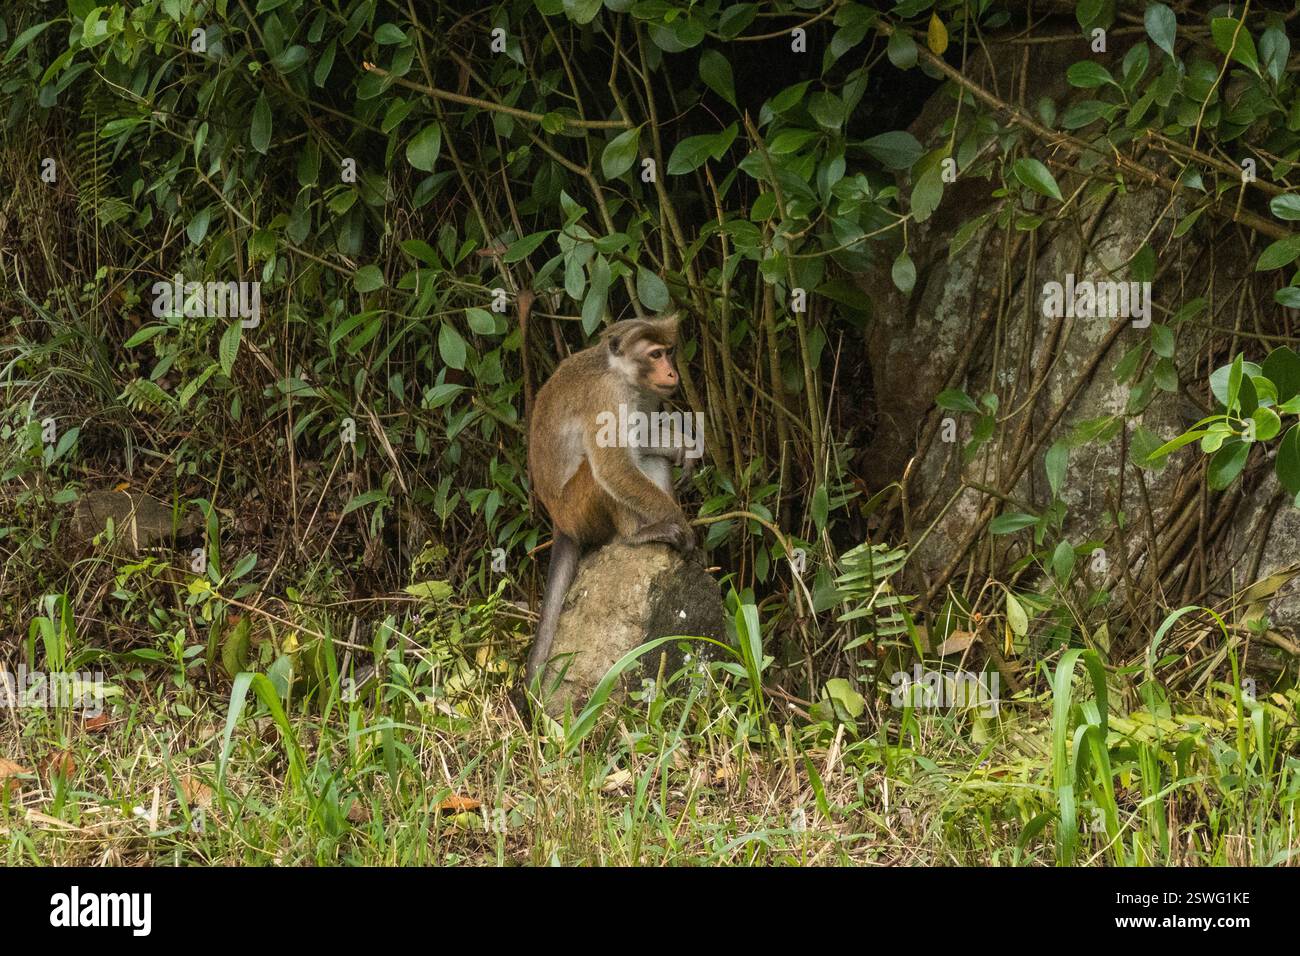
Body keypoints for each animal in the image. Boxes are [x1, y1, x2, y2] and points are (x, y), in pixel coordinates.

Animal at [525, 314, 696, 685]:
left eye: (668, 352)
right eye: (655, 354)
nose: (672, 372)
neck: (620, 373)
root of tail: (559, 524)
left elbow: (640, 439)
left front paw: (684, 446)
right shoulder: (608, 397)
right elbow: (614, 465)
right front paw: (682, 524)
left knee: (645, 459)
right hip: (577, 511)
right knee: (599, 471)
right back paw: (637, 534)